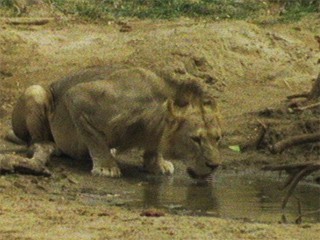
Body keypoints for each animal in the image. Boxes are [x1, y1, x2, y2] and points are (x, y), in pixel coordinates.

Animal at [8, 65, 221, 178]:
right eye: (195, 139)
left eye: (217, 138)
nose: (215, 166)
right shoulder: (77, 97)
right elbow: (94, 139)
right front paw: (106, 167)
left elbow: (154, 147)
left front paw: (157, 164)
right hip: (36, 91)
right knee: (33, 142)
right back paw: (51, 146)